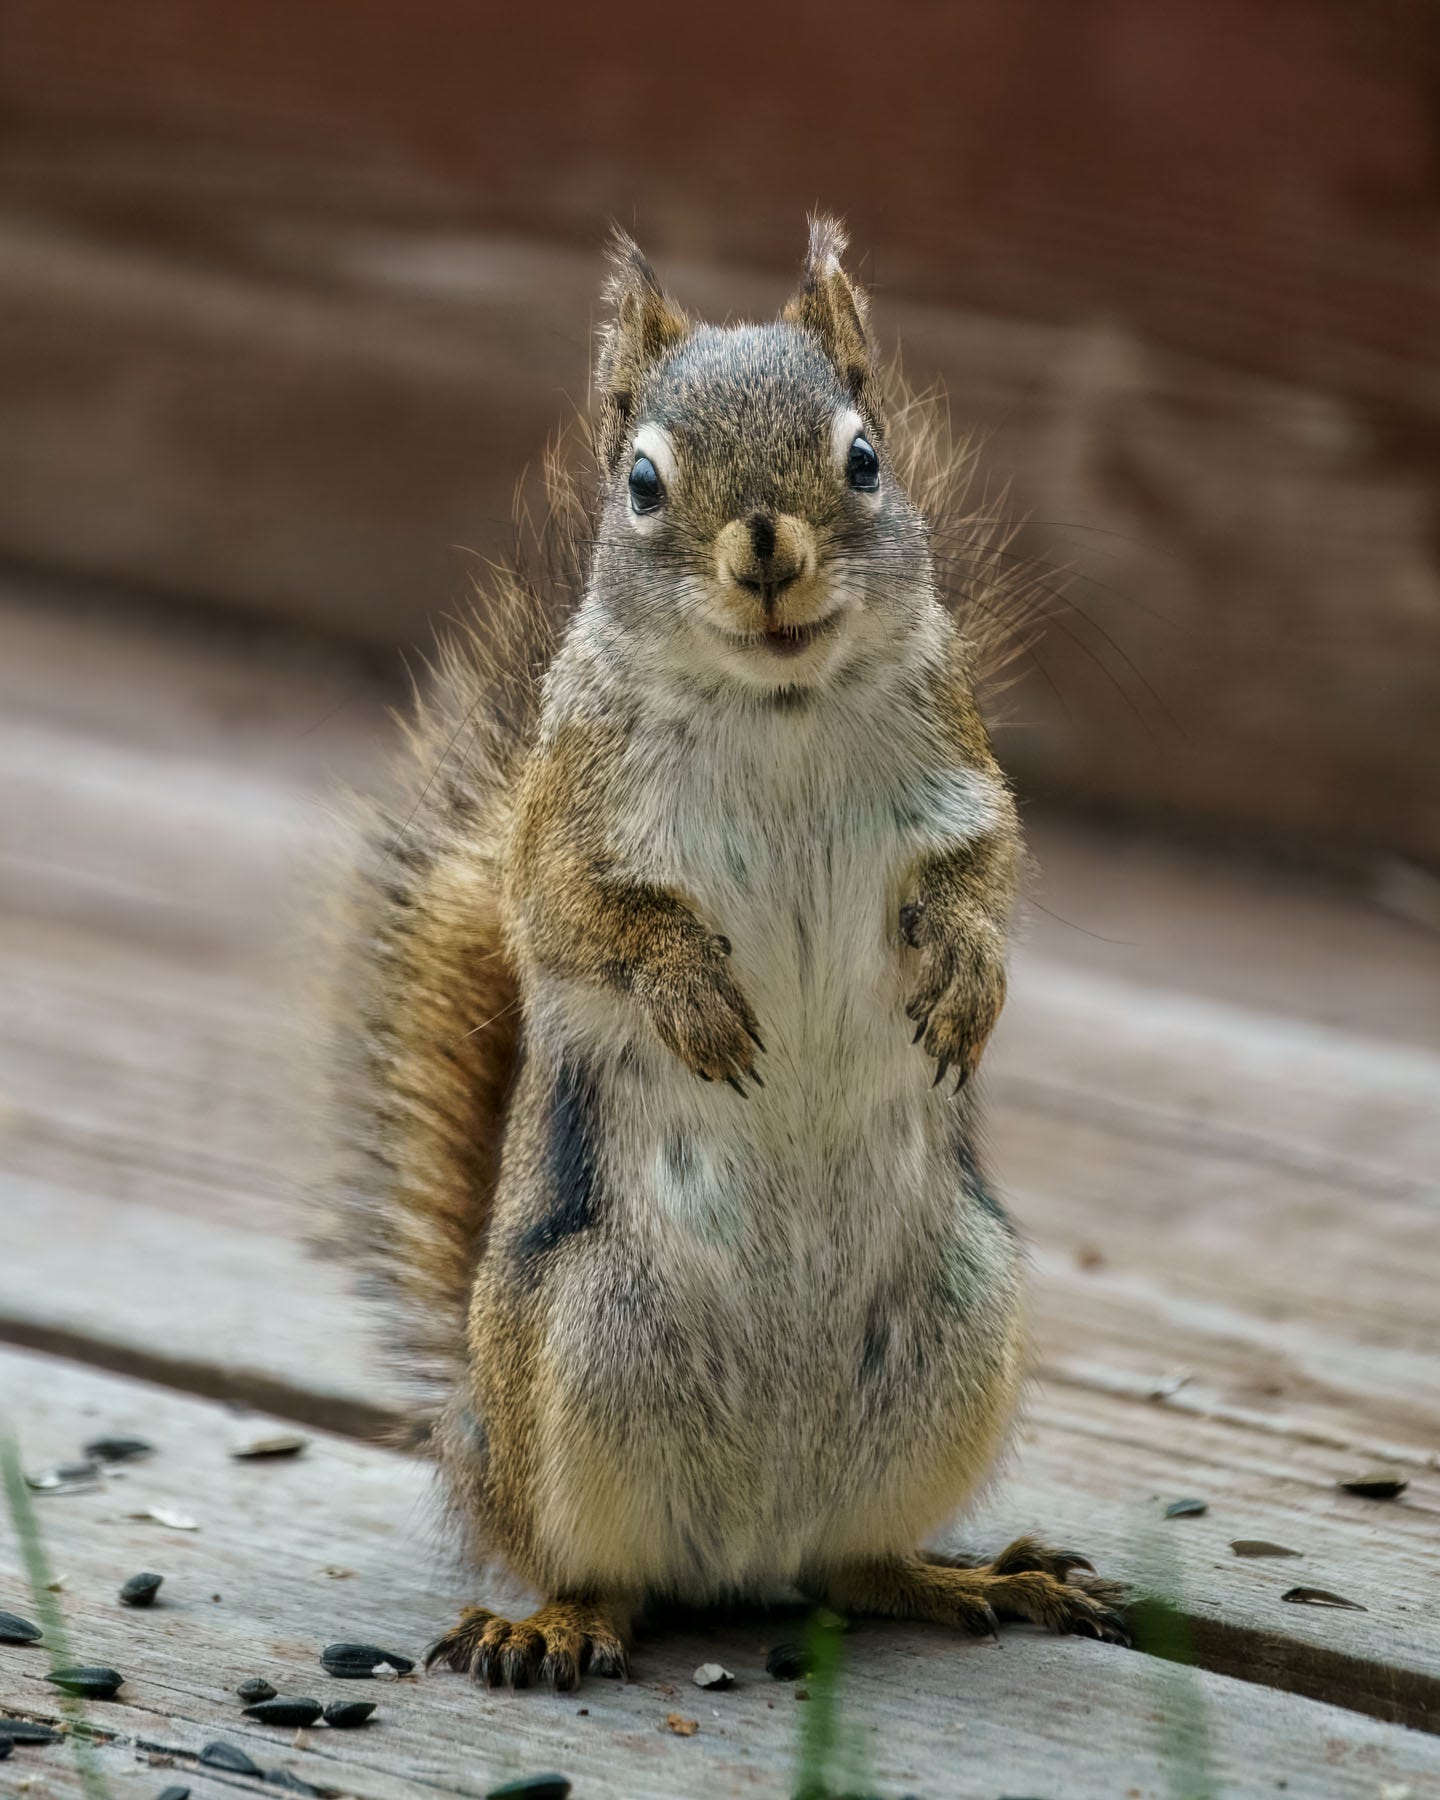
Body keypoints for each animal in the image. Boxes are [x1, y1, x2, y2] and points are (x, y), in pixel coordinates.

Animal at [331, 216, 1126, 1692]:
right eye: (642, 481)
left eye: (865, 455)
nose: (767, 551)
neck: (783, 708)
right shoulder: (564, 828)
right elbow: (590, 919)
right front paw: (694, 999)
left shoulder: (960, 785)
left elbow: (984, 880)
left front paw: (971, 984)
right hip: (581, 1357)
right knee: (607, 1573)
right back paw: (554, 1622)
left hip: (959, 1329)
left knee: (850, 1564)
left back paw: (967, 1576)